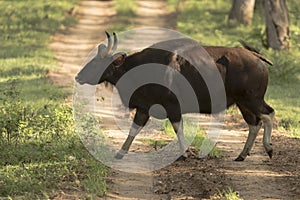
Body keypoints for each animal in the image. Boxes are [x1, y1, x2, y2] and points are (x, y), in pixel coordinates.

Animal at [75, 32, 274, 162]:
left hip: (252, 99)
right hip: (242, 102)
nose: (78, 76)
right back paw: (242, 155)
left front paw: (184, 154)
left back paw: (269, 148)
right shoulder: (145, 107)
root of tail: (256, 57)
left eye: (97, 62)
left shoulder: (172, 106)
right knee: (254, 123)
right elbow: (135, 128)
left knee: (268, 114)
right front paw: (120, 153)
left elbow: (178, 128)